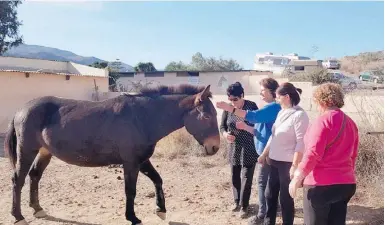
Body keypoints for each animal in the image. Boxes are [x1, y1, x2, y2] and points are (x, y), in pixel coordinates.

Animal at [3, 84, 219, 225]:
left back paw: (37, 209)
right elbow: (130, 190)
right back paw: (18, 216)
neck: (142, 117)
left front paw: (161, 210)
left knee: (34, 176)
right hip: (26, 150)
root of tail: (21, 109)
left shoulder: (142, 160)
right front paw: (133, 217)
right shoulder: (130, 162)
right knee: (18, 180)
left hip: (45, 152)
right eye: (206, 116)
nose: (215, 147)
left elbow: (158, 179)